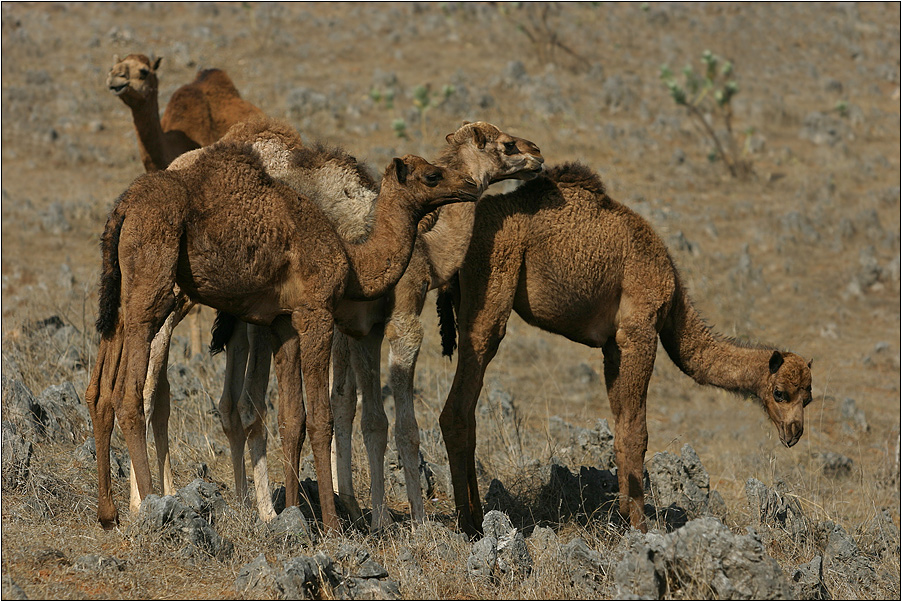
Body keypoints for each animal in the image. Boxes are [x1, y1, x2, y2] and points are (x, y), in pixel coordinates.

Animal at [84, 127, 480, 528]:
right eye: (432, 175)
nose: (470, 185)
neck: (352, 259)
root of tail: (125, 206)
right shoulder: (316, 312)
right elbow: (321, 418)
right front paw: (331, 525)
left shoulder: (283, 322)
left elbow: (292, 418)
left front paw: (291, 514)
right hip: (153, 285)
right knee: (130, 394)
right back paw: (150, 504)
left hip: (122, 292)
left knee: (101, 389)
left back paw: (107, 513)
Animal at [207, 120, 544, 524]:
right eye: (507, 144)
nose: (538, 155)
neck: (429, 254)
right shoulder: (402, 321)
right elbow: (401, 425)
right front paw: (414, 517)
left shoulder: (362, 328)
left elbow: (360, 412)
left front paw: (363, 508)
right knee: (251, 402)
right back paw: (267, 512)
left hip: (249, 317)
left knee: (235, 402)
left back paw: (251, 504)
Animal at [438, 161, 820, 536]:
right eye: (780, 393)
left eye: (809, 398)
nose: (794, 433)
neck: (675, 300)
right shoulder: (639, 331)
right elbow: (638, 432)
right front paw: (640, 526)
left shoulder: (612, 346)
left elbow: (621, 428)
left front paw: (622, 517)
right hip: (493, 283)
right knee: (458, 404)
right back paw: (469, 525)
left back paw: (476, 515)